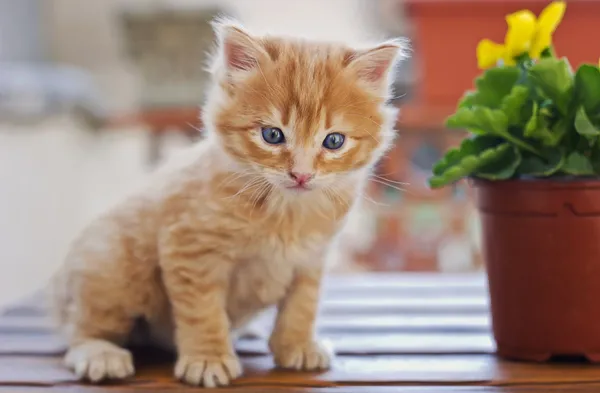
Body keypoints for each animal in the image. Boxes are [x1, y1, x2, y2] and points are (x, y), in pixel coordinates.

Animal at [50, 18, 408, 386]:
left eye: (334, 141)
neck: (285, 212)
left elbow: (302, 305)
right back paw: (99, 353)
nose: (301, 175)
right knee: (78, 330)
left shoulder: (311, 259)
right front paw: (208, 358)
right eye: (272, 135)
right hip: (112, 267)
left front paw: (297, 345)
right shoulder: (189, 249)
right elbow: (203, 311)